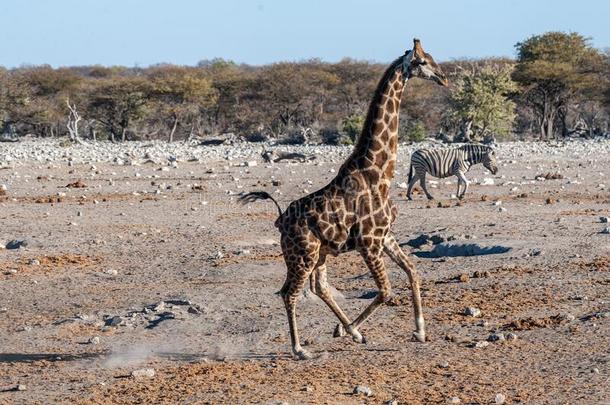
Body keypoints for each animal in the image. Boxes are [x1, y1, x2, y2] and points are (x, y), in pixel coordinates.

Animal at [239, 38, 446, 360]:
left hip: (320, 253)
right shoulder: (369, 242)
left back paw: (349, 332)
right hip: (302, 254)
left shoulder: (385, 236)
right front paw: (346, 330)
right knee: (290, 292)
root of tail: (279, 220)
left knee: (319, 287)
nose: (443, 77)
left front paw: (420, 332)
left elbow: (413, 271)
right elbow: (386, 291)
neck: (379, 172)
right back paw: (300, 348)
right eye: (423, 61)